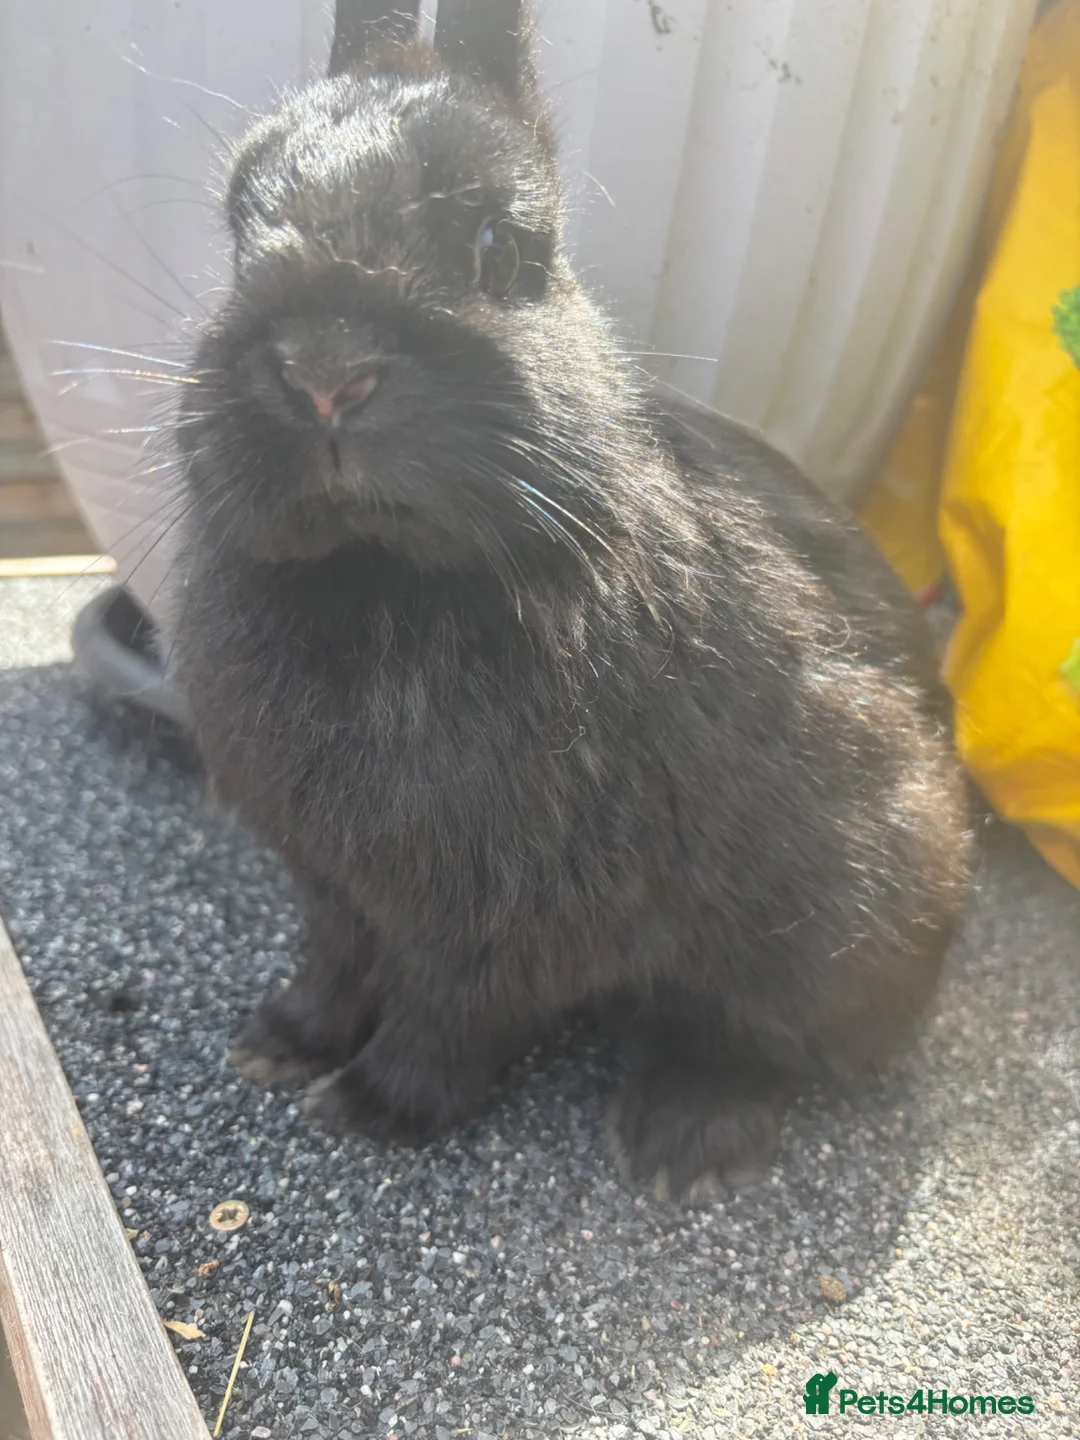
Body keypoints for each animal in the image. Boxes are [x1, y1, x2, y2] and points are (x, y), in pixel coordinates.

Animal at [170, 0, 971, 1200]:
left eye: (503, 250)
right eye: (235, 230)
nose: (323, 370)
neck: (382, 576)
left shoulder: (511, 913)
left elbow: (451, 1017)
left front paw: (370, 1108)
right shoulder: (334, 883)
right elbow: (336, 964)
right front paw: (279, 1044)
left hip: (851, 900)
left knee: (765, 1038)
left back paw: (683, 1142)